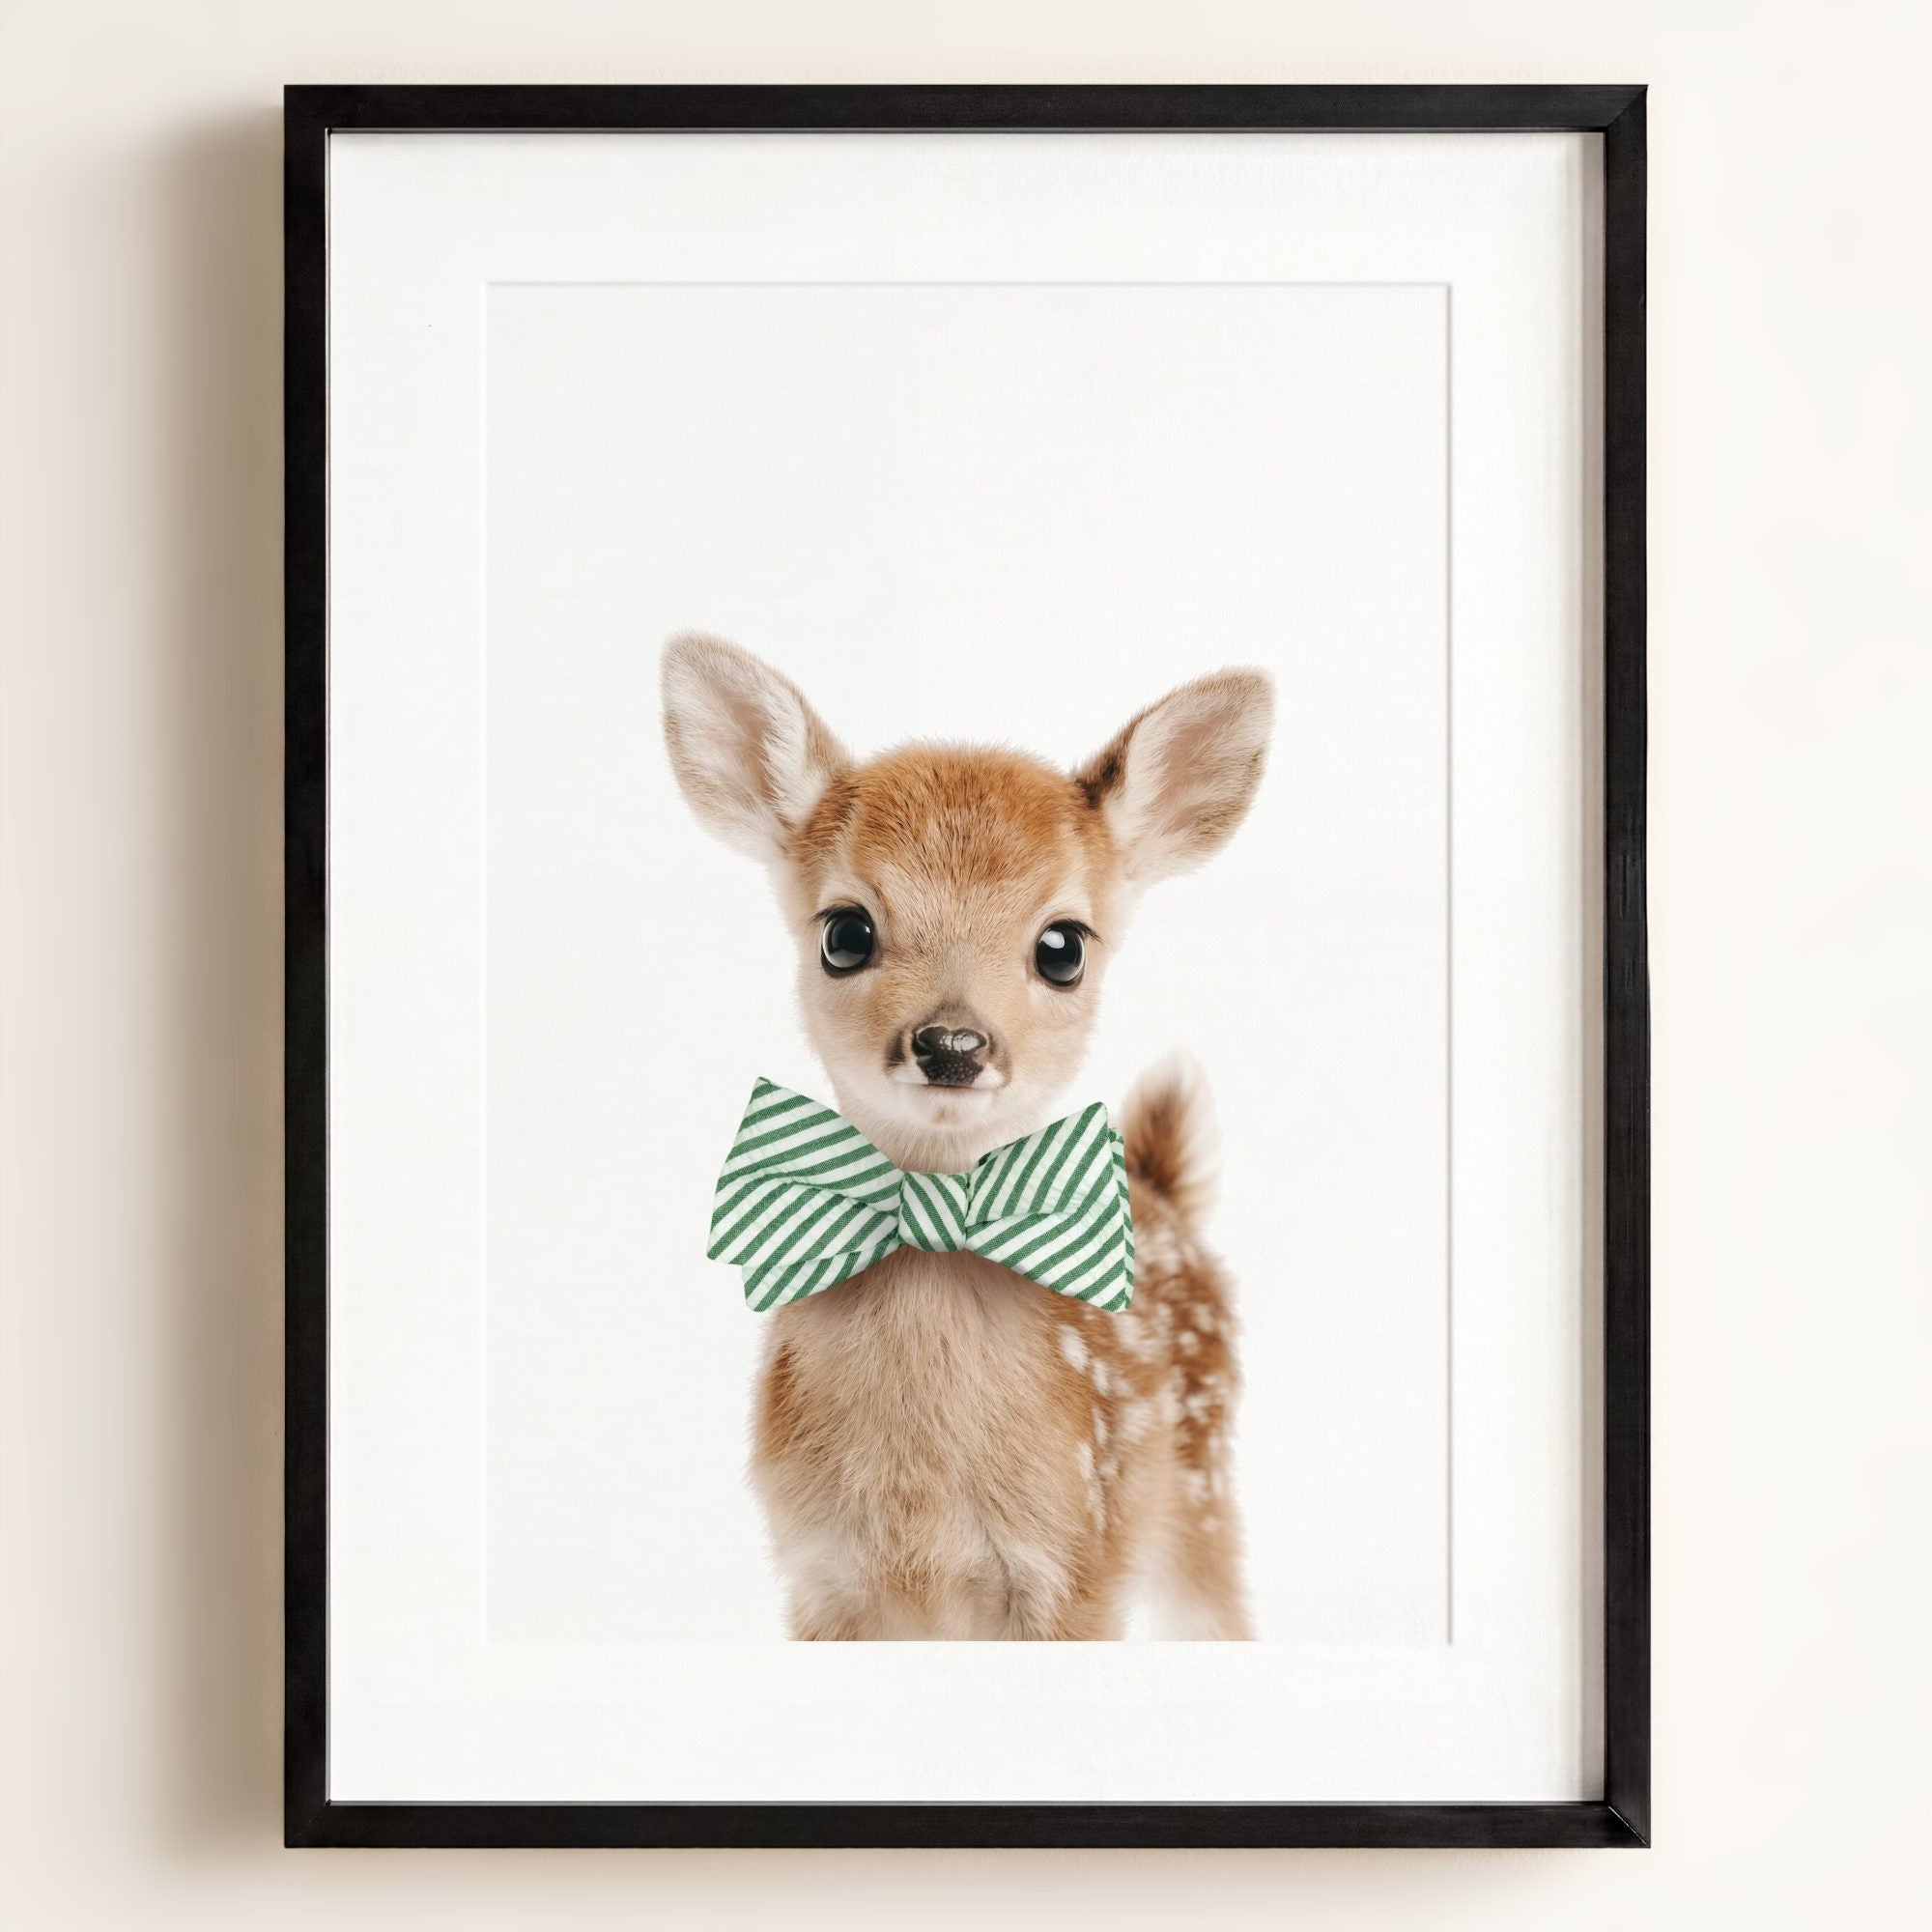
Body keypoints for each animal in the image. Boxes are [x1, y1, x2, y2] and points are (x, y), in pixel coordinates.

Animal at [662, 634, 1273, 1639]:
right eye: (845, 932)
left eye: (1063, 947)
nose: (952, 1044)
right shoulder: (819, 1577)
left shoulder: (1076, 1567)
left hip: (1203, 1494)